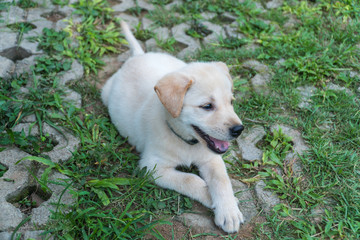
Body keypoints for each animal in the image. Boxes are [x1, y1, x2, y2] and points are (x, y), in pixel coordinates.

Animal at [102, 21, 246, 232]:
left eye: (231, 102)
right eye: (207, 106)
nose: (238, 130)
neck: (188, 143)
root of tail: (138, 56)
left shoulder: (211, 158)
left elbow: (221, 179)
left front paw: (228, 210)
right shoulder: (152, 167)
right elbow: (190, 179)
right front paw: (213, 199)